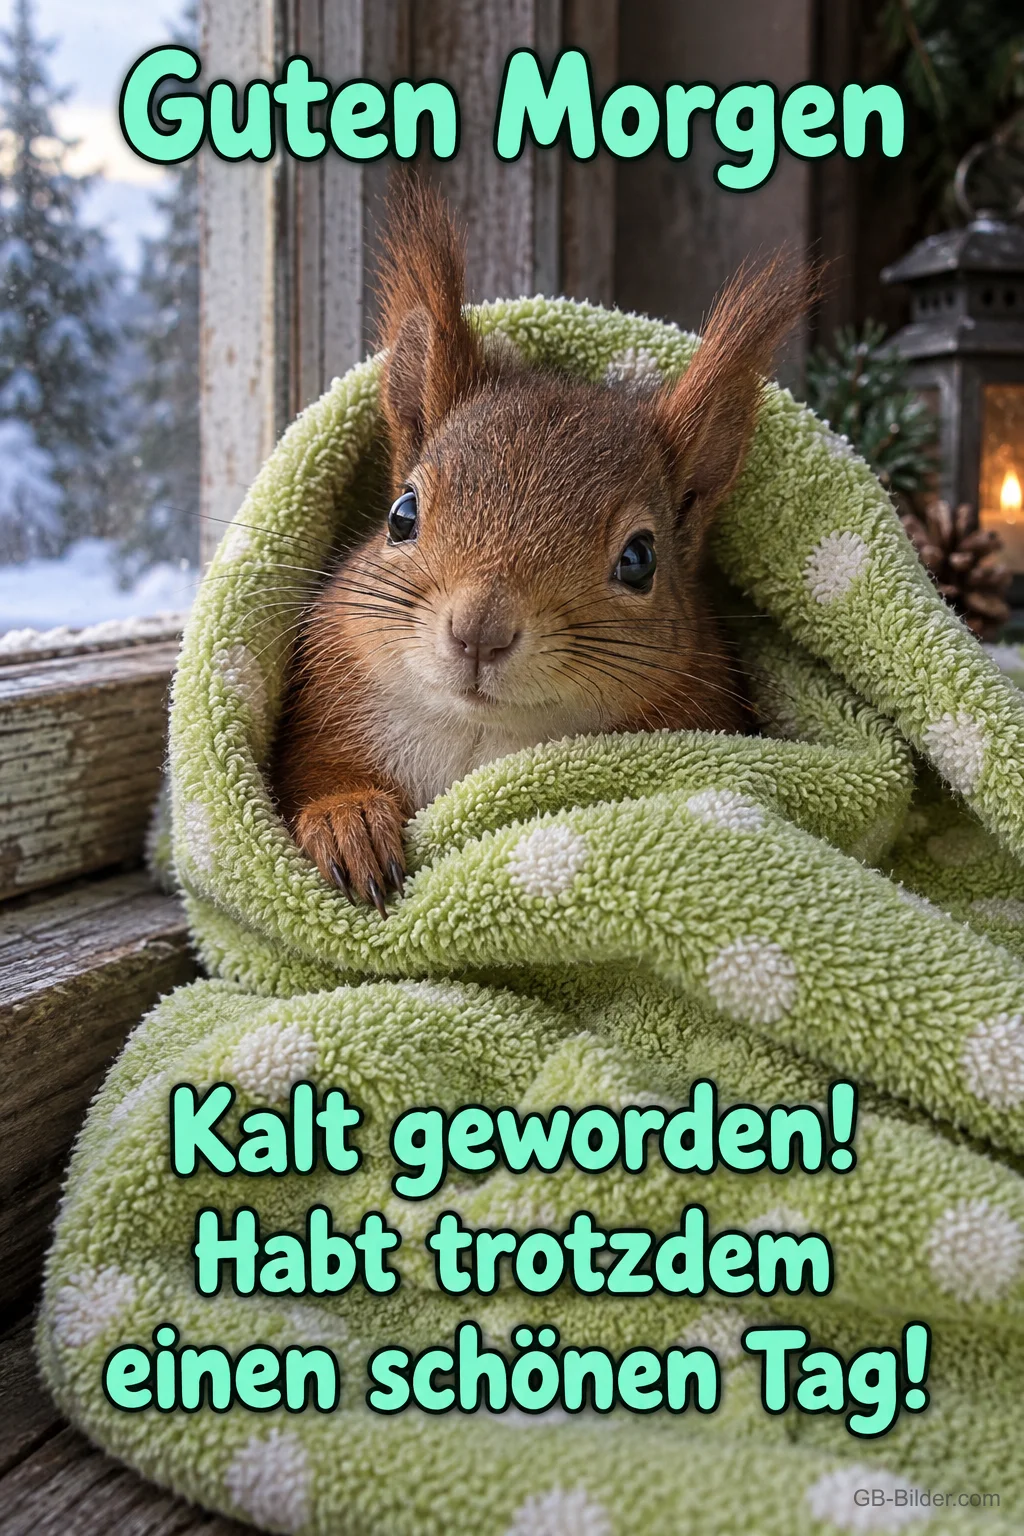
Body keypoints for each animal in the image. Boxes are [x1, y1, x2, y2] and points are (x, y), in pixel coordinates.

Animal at [272, 178, 806, 915]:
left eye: (640, 560)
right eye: (402, 515)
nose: (480, 632)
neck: (477, 739)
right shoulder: (323, 716)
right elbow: (312, 774)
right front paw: (347, 820)